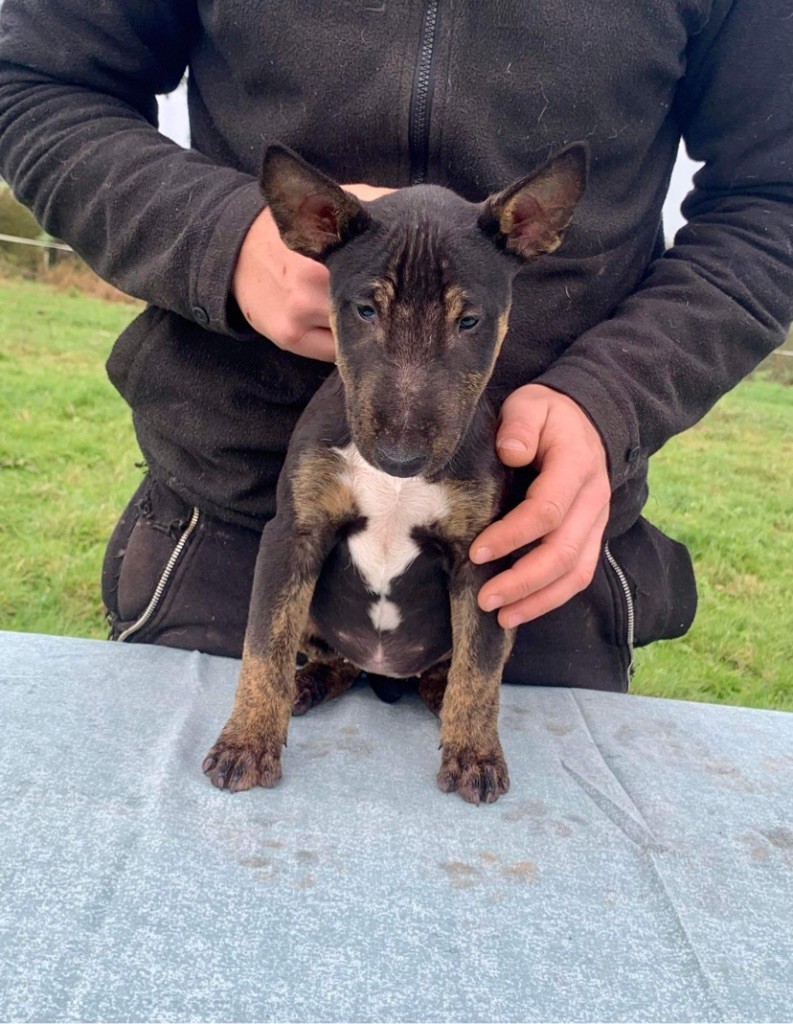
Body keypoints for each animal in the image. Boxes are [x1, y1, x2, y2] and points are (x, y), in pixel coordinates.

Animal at [203, 143, 587, 803]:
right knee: (326, 658)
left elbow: (480, 669)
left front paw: (474, 753)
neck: (397, 489)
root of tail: (383, 673)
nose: (401, 459)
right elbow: (263, 645)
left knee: (456, 667)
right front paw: (246, 741)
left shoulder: (481, 558)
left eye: (469, 321)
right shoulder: (292, 536)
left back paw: (440, 701)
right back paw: (307, 686)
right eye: (363, 310)